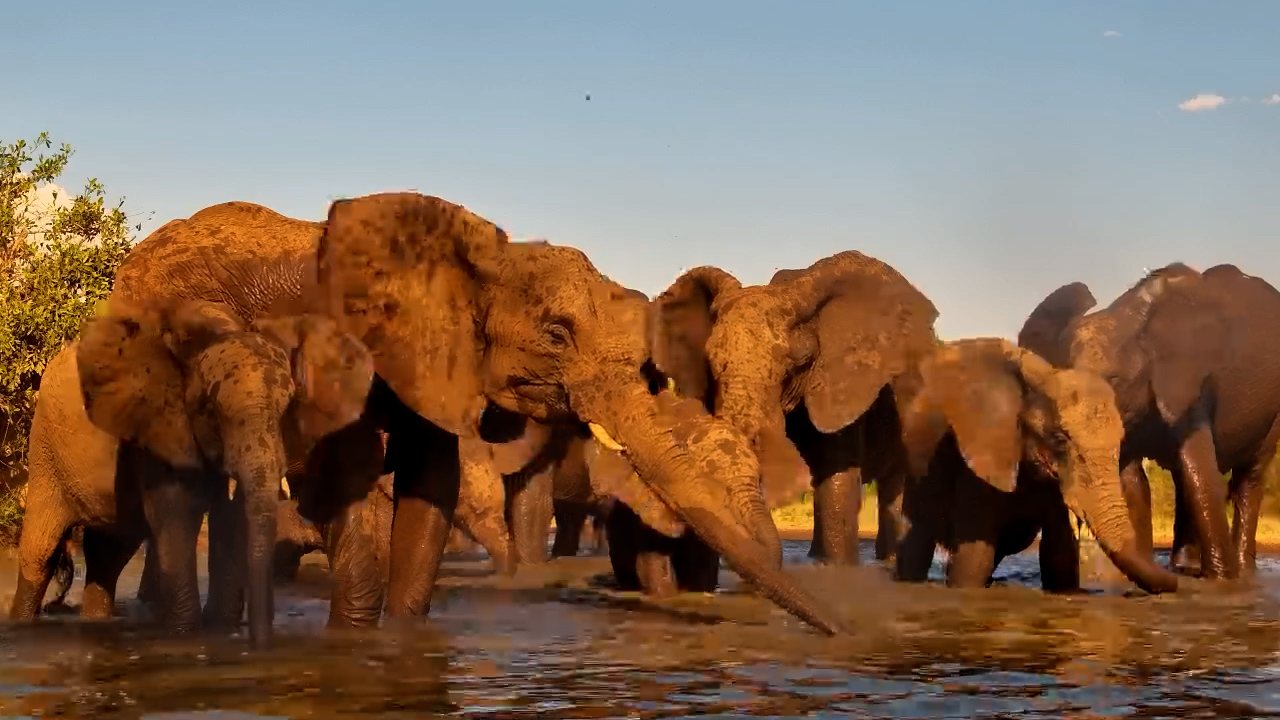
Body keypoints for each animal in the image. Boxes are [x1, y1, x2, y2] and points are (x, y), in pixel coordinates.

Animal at [12, 299, 374, 651]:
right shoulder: (159, 427)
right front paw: (186, 638)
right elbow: (177, 516)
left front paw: (221, 633)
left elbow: (230, 519)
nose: (262, 646)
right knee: (41, 552)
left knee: (110, 555)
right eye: (210, 409)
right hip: (45, 447)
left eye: (287, 407)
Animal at [891, 338, 1179, 593]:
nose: (1175, 582)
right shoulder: (980, 453)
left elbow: (1059, 556)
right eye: (1060, 439)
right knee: (917, 540)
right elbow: (974, 559)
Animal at [1019, 263, 1280, 582]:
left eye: (1114, 381)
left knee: (1249, 477)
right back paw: (1183, 568)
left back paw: (1242, 572)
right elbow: (1134, 481)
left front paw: (1222, 581)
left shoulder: (1192, 383)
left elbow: (1201, 474)